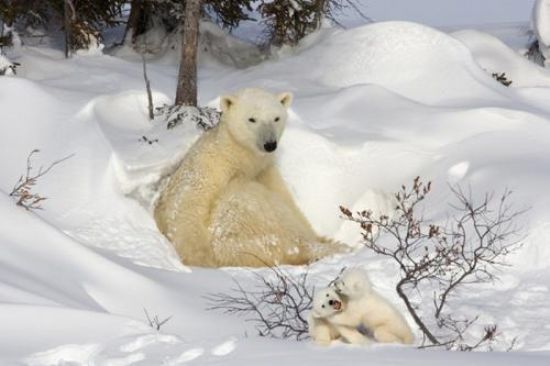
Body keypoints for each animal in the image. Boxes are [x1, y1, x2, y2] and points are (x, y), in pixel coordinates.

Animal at [154, 87, 344, 268]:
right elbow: (185, 208)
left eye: (276, 118)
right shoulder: (209, 170)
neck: (238, 156)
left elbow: (287, 199)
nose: (270, 144)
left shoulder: (264, 170)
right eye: (252, 119)